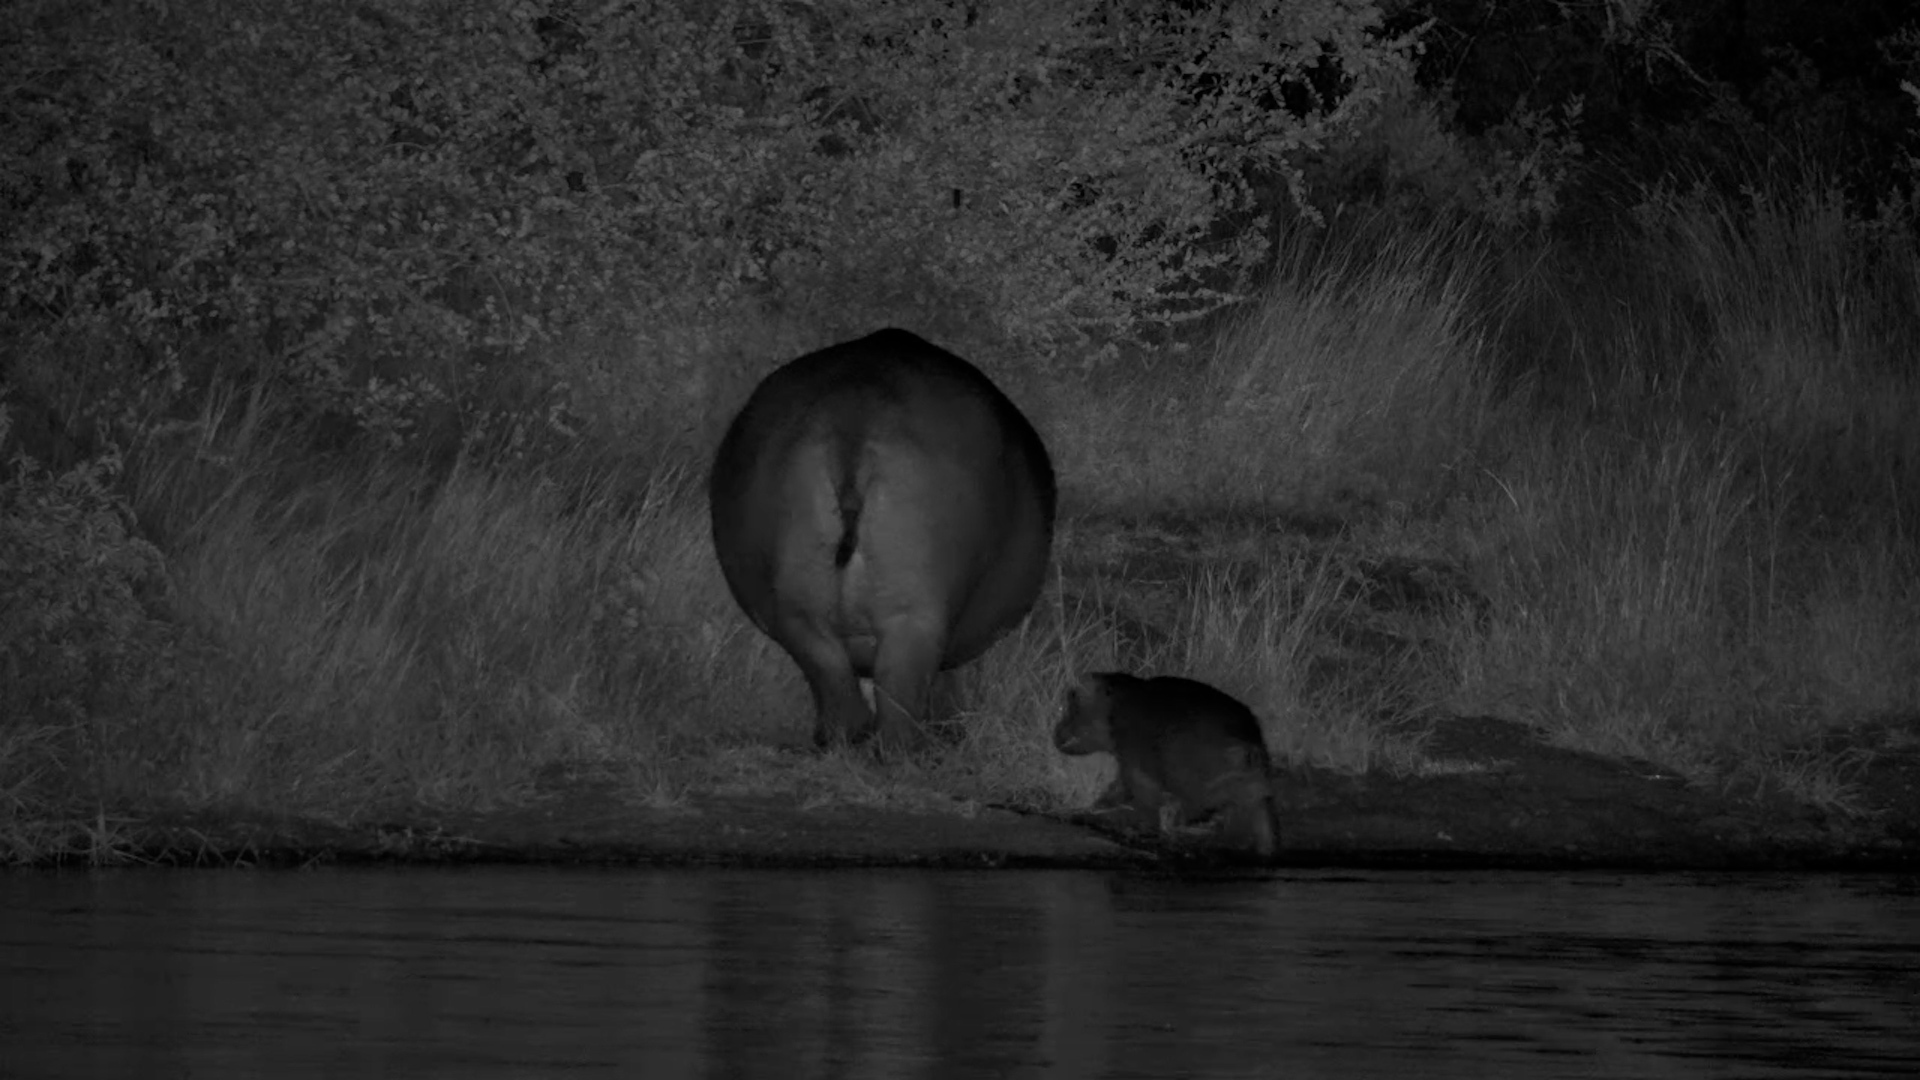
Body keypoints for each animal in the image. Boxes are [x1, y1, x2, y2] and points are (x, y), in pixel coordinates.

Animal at [709, 328, 1057, 755]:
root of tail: (852, 421)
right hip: (912, 614)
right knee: (899, 701)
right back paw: (909, 750)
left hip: (800, 609)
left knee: (835, 683)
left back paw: (838, 742)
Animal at [1054, 672, 1281, 859]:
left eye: (1071, 703)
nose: (1055, 731)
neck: (1114, 704)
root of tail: (1249, 743)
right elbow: (1119, 789)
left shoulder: (1135, 763)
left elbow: (1138, 792)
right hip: (1252, 787)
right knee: (1258, 814)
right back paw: (1265, 846)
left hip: (1196, 778)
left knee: (1205, 808)